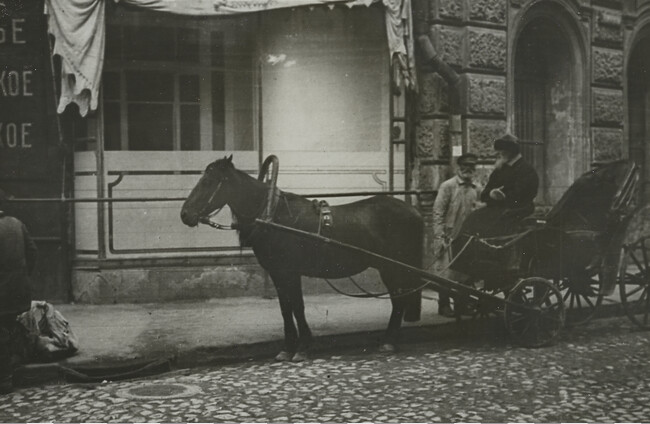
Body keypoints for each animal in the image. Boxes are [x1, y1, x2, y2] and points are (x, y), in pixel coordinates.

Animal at [180, 156, 422, 362]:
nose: (185, 214)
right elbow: (285, 308)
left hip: (391, 267)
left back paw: (389, 342)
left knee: (398, 300)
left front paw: (303, 348)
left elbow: (297, 306)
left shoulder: (290, 272)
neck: (273, 215)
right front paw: (288, 348)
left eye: (209, 182)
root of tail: (413, 210)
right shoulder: (277, 273)